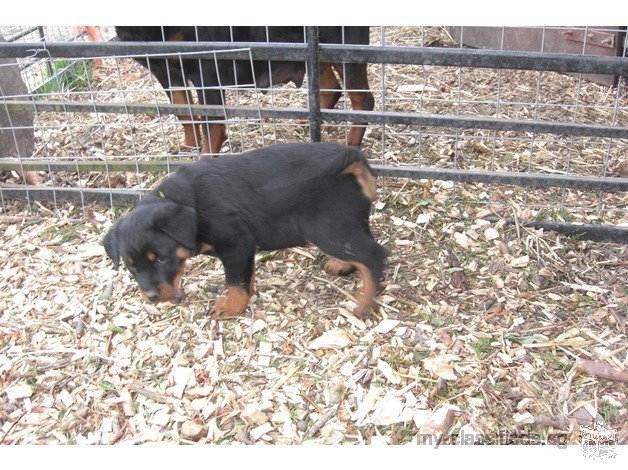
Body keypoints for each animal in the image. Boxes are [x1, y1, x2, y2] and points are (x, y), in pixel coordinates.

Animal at [105, 143, 386, 320]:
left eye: (162, 259)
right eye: (131, 267)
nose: (151, 297)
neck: (189, 204)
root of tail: (354, 161)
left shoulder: (235, 244)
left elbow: (234, 281)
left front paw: (231, 307)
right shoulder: (242, 250)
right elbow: (244, 277)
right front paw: (245, 297)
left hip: (327, 229)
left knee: (373, 254)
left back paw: (365, 304)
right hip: (350, 222)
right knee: (361, 249)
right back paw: (342, 265)